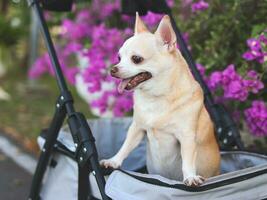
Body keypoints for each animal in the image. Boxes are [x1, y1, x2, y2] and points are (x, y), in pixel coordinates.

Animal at [100, 13, 220, 186]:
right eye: (119, 57)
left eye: (136, 59)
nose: (112, 69)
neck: (156, 97)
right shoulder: (137, 128)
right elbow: (126, 146)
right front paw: (114, 161)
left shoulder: (186, 137)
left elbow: (187, 161)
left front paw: (190, 177)